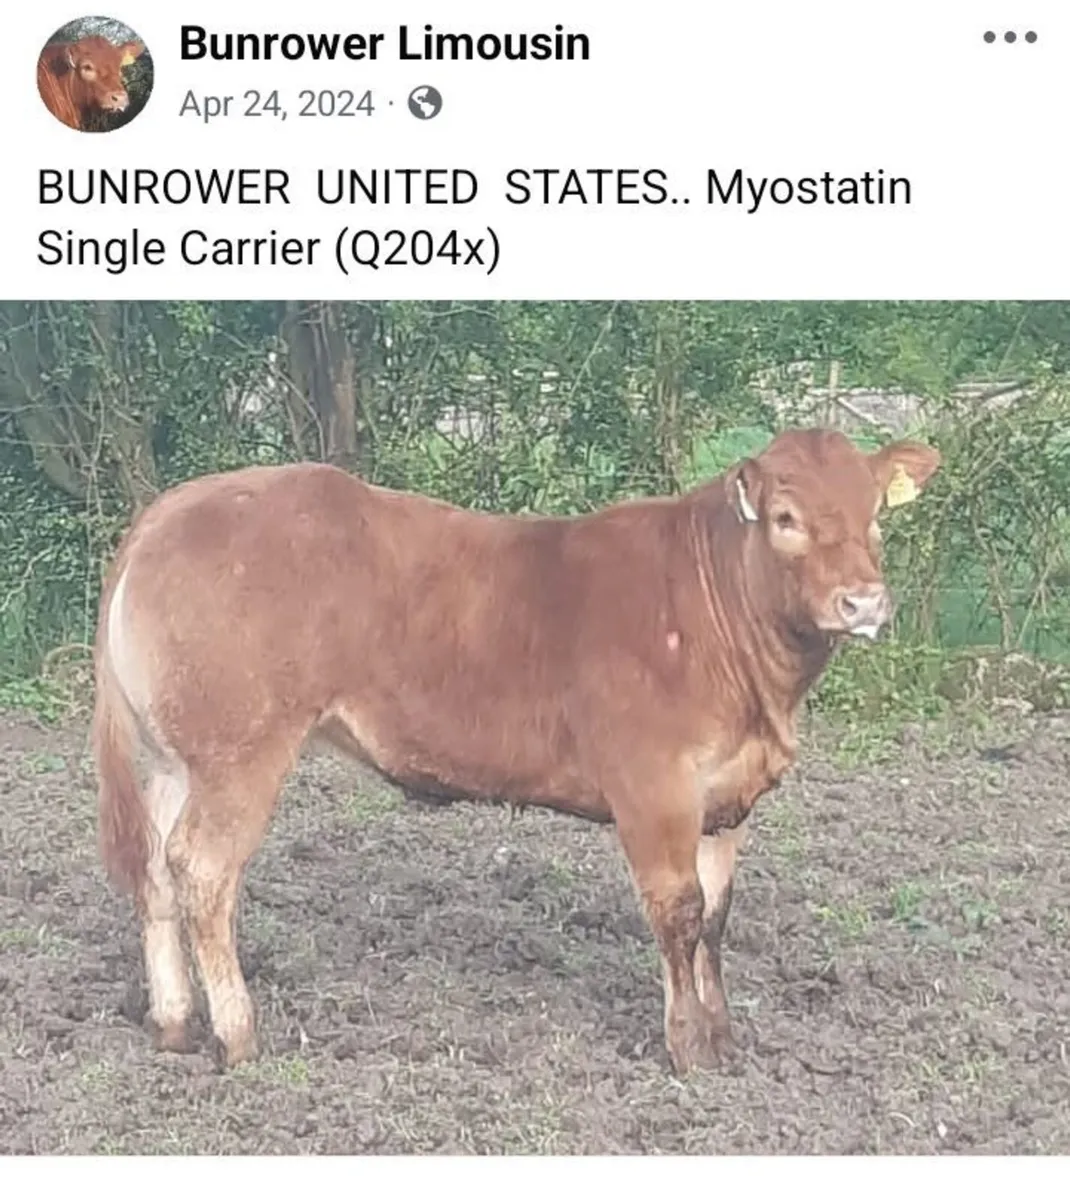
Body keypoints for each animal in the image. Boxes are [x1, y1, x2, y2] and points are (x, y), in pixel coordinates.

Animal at [92, 427, 941, 1073]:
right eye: (786, 517)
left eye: (876, 514)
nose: (863, 602)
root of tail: (170, 508)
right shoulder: (656, 788)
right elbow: (678, 912)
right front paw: (688, 1049)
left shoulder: (726, 801)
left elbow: (718, 918)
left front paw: (724, 1035)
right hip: (240, 752)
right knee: (202, 870)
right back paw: (237, 1034)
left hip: (174, 758)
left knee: (155, 868)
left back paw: (173, 1023)